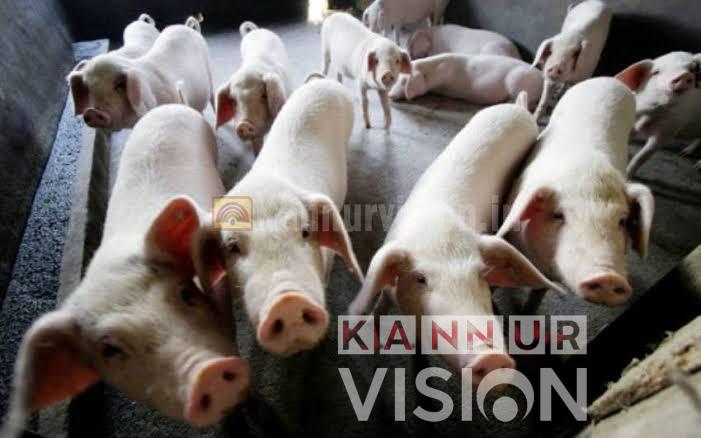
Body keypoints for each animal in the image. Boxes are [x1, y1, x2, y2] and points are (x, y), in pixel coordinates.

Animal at [348, 102, 559, 384]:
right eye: (420, 278)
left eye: (482, 274)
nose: (491, 357)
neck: (437, 230)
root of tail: (517, 107)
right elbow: (381, 303)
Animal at [497, 78, 655, 306]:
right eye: (559, 215)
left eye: (622, 220)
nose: (608, 277)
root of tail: (610, 79)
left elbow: (539, 292)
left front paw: (529, 308)